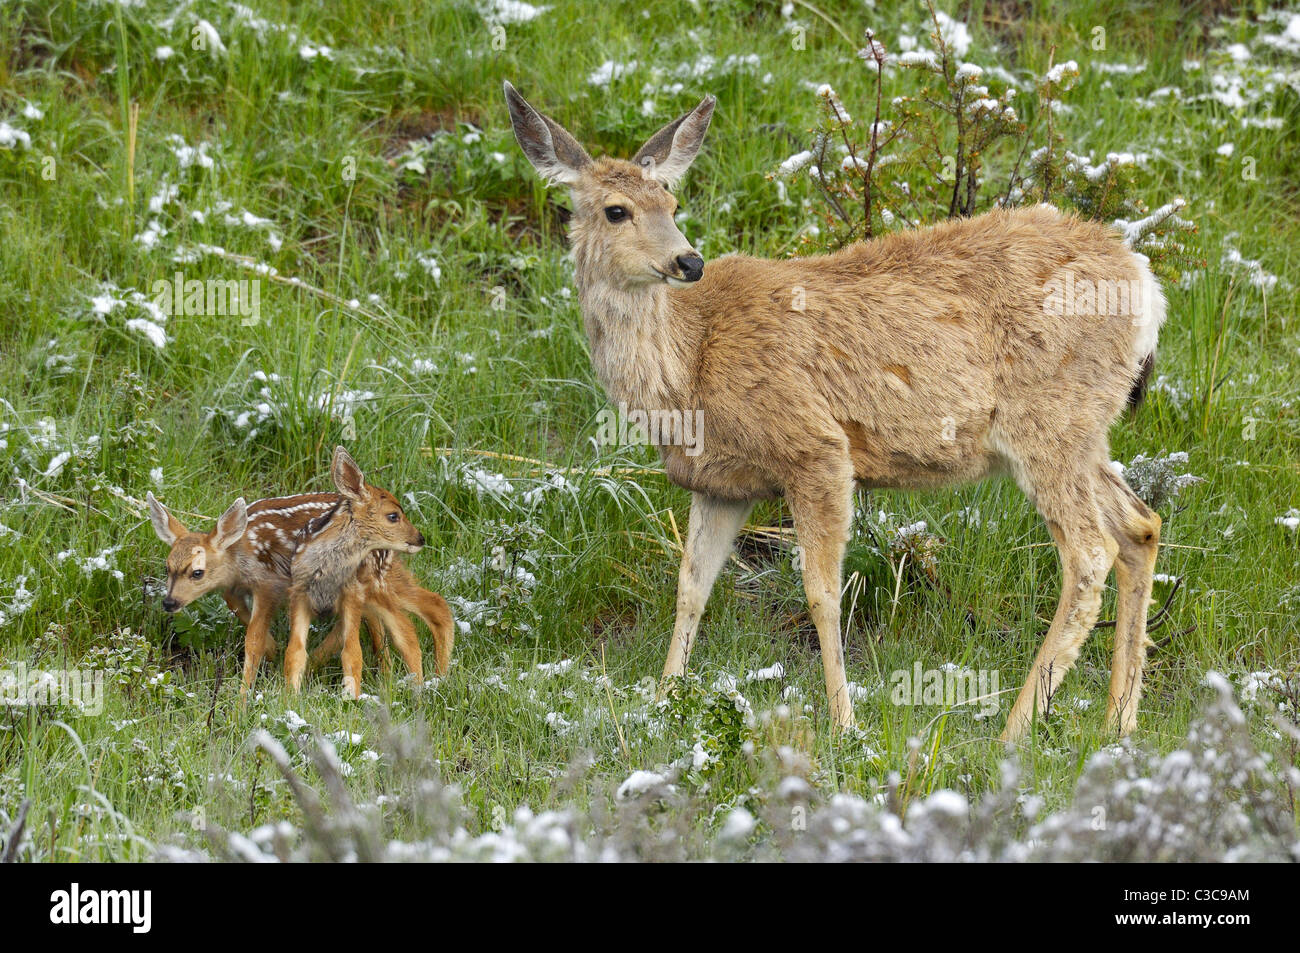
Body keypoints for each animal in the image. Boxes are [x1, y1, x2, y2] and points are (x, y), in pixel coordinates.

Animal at [144, 486, 452, 696]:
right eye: (167, 567)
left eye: (197, 572)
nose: (169, 602)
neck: (240, 554)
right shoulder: (237, 588)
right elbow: (235, 604)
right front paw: (275, 650)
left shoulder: (270, 583)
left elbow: (252, 640)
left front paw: (242, 700)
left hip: (373, 579)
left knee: (431, 606)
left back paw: (435, 677)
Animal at [283, 447, 426, 696]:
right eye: (393, 516)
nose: (420, 538)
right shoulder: (299, 593)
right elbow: (294, 652)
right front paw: (290, 697)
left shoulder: (352, 593)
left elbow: (352, 652)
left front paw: (351, 697)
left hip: (377, 588)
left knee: (407, 633)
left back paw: (419, 690)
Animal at [504, 81, 1170, 738]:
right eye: (617, 210)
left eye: (671, 201)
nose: (688, 262)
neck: (688, 367)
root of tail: (1145, 283)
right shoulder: (719, 482)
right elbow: (691, 585)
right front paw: (665, 700)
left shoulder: (816, 446)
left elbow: (822, 593)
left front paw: (845, 722)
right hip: (1087, 430)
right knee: (1140, 526)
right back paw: (1120, 721)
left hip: (1049, 421)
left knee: (1090, 555)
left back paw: (1015, 729)